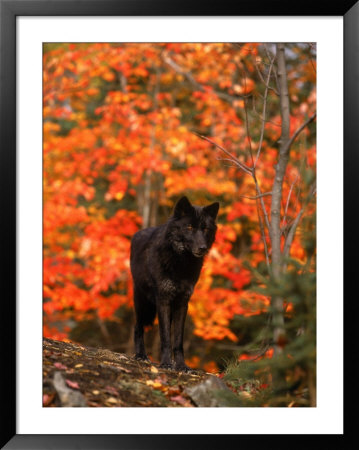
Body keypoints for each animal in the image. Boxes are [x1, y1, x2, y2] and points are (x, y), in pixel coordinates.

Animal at [129, 195, 219, 370]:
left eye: (205, 229)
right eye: (189, 227)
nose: (203, 248)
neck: (181, 263)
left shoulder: (182, 303)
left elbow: (177, 340)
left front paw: (181, 365)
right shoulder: (163, 300)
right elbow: (165, 337)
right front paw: (165, 363)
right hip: (143, 303)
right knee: (137, 327)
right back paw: (141, 355)